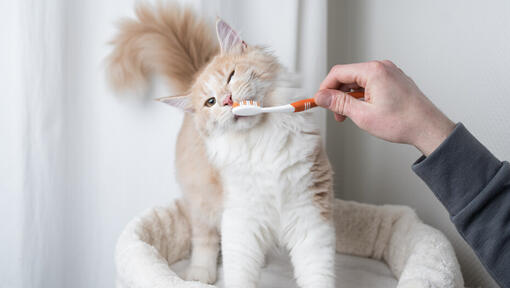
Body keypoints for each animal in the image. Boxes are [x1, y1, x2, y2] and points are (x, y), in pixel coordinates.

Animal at [107, 2, 336, 288]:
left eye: (231, 76)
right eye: (211, 102)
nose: (227, 100)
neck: (262, 139)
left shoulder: (309, 212)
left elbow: (316, 271)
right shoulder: (241, 218)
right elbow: (239, 271)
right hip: (201, 202)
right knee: (204, 240)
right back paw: (200, 274)